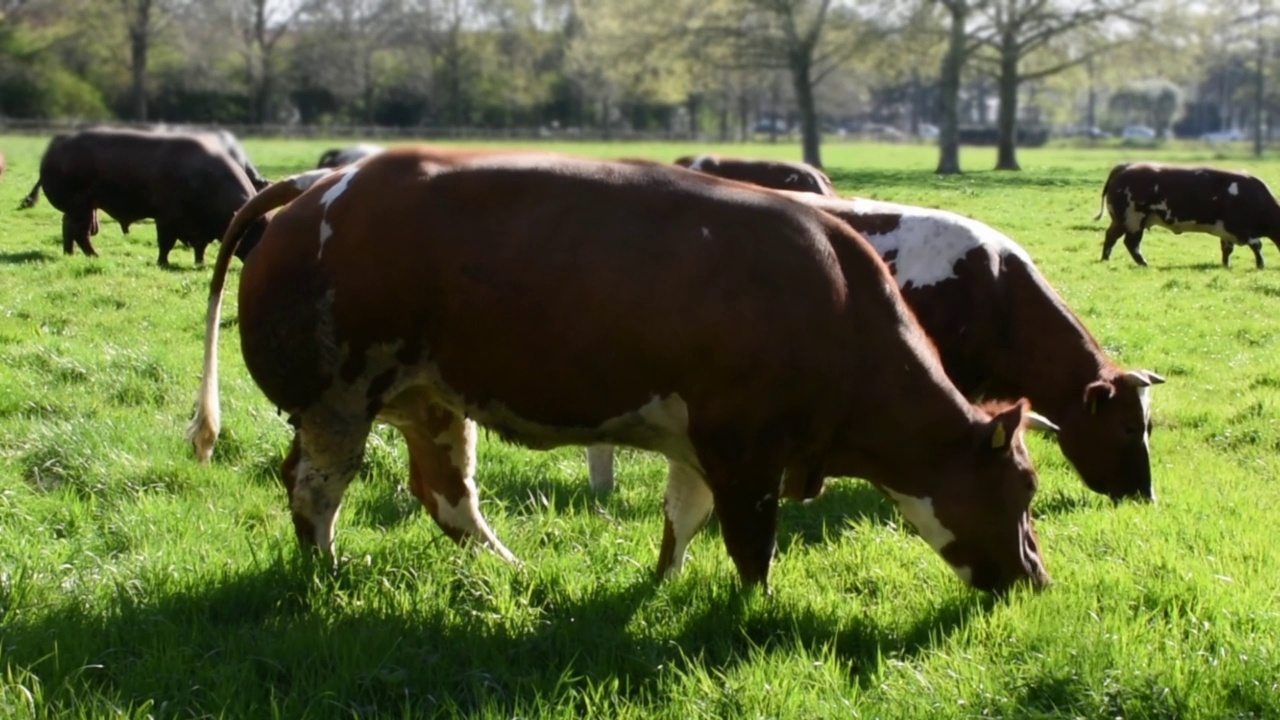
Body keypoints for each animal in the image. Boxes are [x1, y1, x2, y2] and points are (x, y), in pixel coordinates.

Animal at [20, 127, 268, 265]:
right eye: (251, 231)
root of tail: (55, 144)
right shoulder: (167, 216)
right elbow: (166, 242)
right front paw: (163, 263)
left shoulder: (199, 227)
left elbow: (200, 247)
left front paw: (199, 264)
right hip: (79, 204)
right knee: (77, 230)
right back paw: (95, 256)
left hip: (85, 206)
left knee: (69, 228)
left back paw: (71, 255)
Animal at [185, 147, 1054, 594]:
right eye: (1024, 489)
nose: (1037, 577)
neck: (836, 306)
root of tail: (318, 184)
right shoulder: (746, 454)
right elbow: (750, 546)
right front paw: (753, 612)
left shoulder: (702, 446)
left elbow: (681, 520)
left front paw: (662, 584)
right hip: (336, 403)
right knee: (315, 490)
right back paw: (326, 573)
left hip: (429, 399)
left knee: (446, 495)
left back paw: (510, 568)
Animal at [1090, 161, 1280, 267]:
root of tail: (1125, 166)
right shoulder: (1241, 229)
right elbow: (1257, 246)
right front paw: (1261, 265)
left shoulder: (1227, 232)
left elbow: (1227, 250)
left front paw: (1226, 266)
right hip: (1133, 220)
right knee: (1130, 242)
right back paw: (1143, 263)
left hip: (1123, 220)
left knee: (1111, 237)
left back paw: (1106, 259)